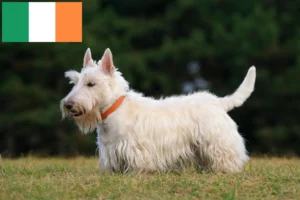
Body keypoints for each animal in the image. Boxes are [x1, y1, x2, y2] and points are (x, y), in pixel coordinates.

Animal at [60, 47, 255, 173]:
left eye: (91, 84)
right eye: (74, 82)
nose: (68, 105)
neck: (113, 109)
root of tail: (218, 102)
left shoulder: (136, 149)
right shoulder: (109, 150)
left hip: (217, 141)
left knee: (226, 155)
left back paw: (225, 170)